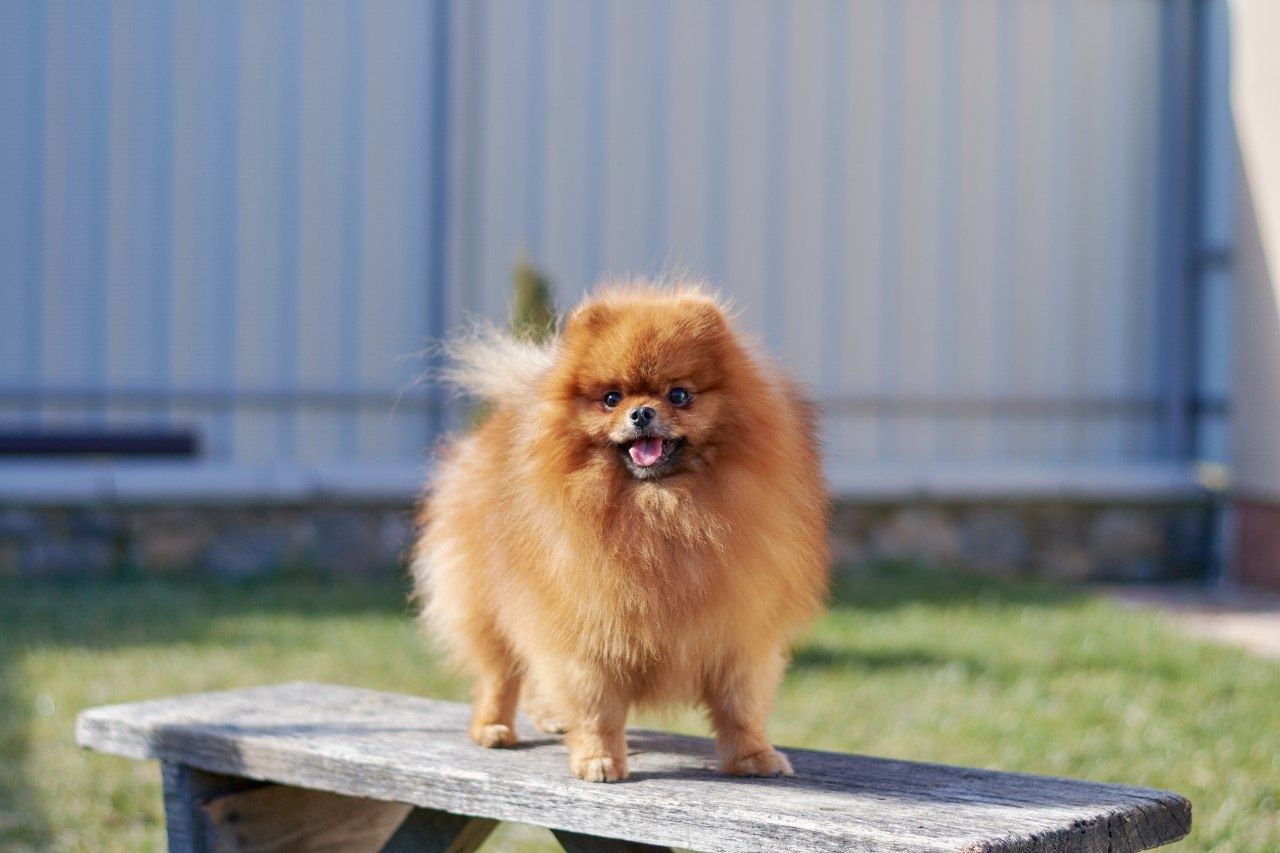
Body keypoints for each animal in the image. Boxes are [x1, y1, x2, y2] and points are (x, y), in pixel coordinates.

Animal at [409, 284, 829, 778]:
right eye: (612, 398)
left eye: (679, 394)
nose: (642, 412)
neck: (660, 509)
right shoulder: (587, 630)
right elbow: (597, 707)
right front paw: (599, 758)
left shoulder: (739, 631)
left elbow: (740, 705)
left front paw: (753, 756)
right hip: (487, 603)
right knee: (499, 672)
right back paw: (493, 727)